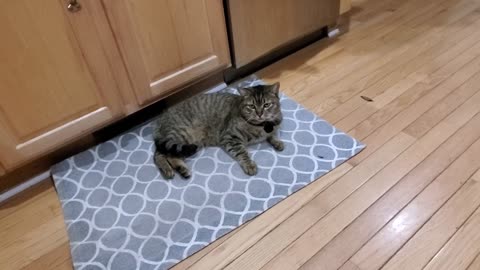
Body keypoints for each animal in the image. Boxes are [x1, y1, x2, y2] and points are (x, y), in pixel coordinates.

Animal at [152, 82, 284, 179]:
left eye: (266, 105)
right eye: (251, 106)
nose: (259, 114)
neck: (261, 125)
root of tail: (161, 117)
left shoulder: (273, 125)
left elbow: (273, 134)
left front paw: (277, 142)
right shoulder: (230, 137)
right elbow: (243, 153)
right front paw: (249, 165)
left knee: (168, 155)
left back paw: (182, 169)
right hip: (181, 135)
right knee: (159, 155)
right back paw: (168, 170)